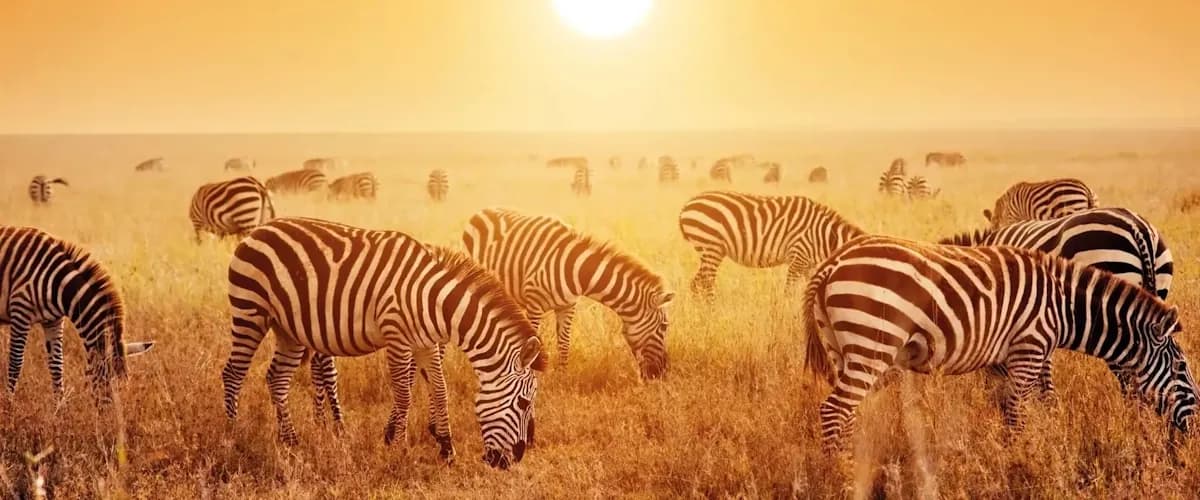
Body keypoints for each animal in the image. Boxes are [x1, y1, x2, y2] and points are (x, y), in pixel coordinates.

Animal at [1, 226, 155, 402]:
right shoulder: (20, 312)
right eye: (107, 382)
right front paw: (9, 404)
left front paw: (59, 406)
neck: (57, 283)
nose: (115, 411)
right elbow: (15, 364)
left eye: (124, 387)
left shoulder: (54, 321)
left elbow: (57, 366)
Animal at [222, 217, 545, 469]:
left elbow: (440, 390)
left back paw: (290, 442)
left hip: (288, 329)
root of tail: (259, 229)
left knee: (277, 378)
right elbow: (403, 395)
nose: (512, 461)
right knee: (233, 374)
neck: (432, 300)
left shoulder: (425, 343)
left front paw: (446, 449)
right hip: (250, 311)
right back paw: (233, 436)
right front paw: (400, 451)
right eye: (523, 402)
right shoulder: (397, 337)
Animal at [463, 208, 674, 379]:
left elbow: (564, 343)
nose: (662, 373)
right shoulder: (535, 305)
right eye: (664, 326)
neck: (577, 271)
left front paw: (563, 376)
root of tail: (482, 210)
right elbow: (534, 342)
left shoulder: (568, 306)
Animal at [678, 191, 865, 300]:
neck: (824, 236)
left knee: (696, 284)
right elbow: (788, 293)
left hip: (709, 250)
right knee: (706, 283)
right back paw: (713, 313)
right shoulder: (798, 257)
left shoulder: (810, 266)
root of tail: (686, 205)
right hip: (712, 247)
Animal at [802, 235, 1196, 452]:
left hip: (843, 348)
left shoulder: (1004, 358)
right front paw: (1022, 460)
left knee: (846, 414)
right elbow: (1019, 413)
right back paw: (839, 472)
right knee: (833, 410)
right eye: (1182, 368)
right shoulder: (1030, 347)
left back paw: (851, 463)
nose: (1193, 432)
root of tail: (835, 260)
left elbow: (1013, 407)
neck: (1063, 306)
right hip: (871, 344)